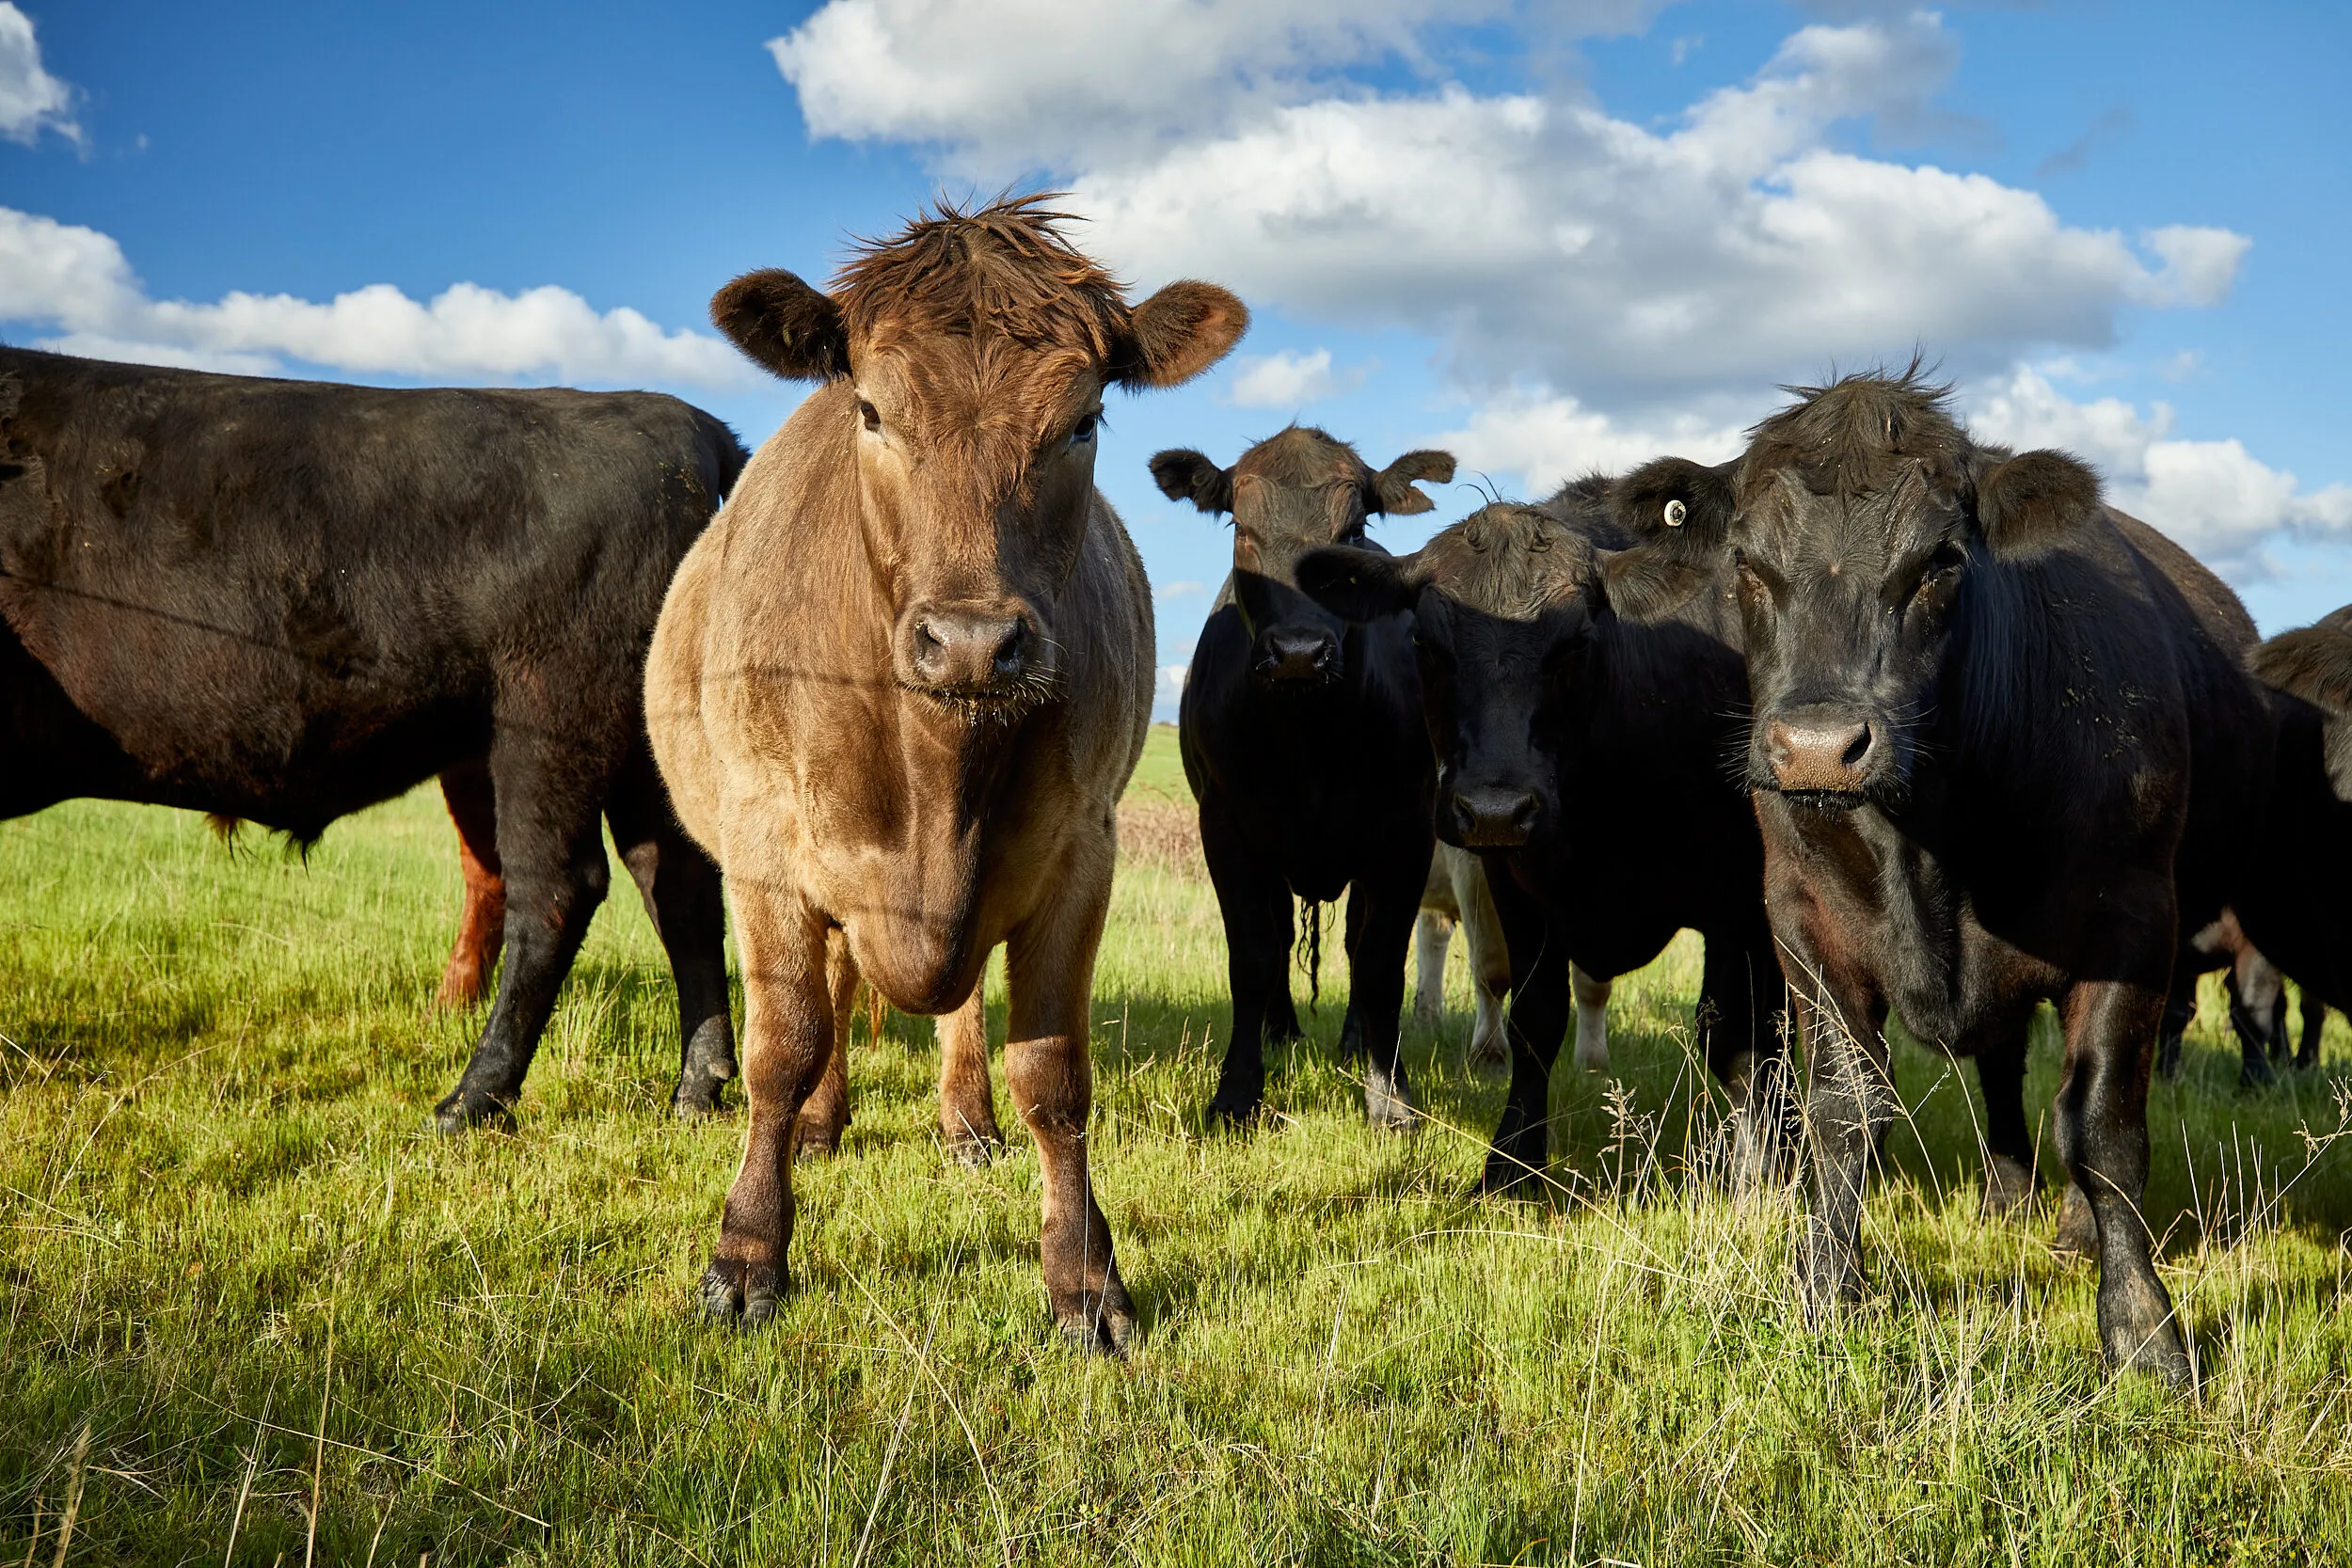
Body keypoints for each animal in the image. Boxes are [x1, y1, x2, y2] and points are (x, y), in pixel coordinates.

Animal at [0, 346, 745, 1132]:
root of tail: (679, 420)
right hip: (639, 749)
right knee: (677, 883)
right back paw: (698, 1088)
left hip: (550, 715)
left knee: (557, 888)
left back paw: (471, 1098)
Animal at [643, 197, 1247, 1352]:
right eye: (873, 411)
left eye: (1083, 420)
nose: (973, 642)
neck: (936, 771)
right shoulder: (764, 849)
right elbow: (783, 1046)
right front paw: (746, 1254)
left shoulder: (1079, 849)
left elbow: (1053, 1075)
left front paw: (1086, 1279)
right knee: (834, 995)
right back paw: (824, 1124)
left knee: (958, 1006)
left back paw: (965, 1122)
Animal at [1155, 427, 1453, 1130]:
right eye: (1242, 527)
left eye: (1352, 530)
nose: (1298, 652)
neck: (1309, 740)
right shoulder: (1226, 829)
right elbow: (1253, 956)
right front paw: (1237, 1092)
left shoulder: (1406, 833)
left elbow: (1379, 962)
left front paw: (1390, 1094)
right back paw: (1281, 1031)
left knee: (1352, 939)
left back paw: (1352, 1039)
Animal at [1416, 830, 1612, 1075]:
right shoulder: (1472, 867)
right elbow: (1492, 971)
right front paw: (1489, 1053)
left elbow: (1593, 985)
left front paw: (1593, 1063)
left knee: (1432, 932)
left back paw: (1427, 1017)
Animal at [1600, 369, 2274, 1385]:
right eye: (1747, 562)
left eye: (1941, 561)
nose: (1817, 745)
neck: (1926, 845)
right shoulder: (1798, 918)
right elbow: (1844, 1110)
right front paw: (1826, 1292)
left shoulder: (2131, 921)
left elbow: (2104, 1126)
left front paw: (2145, 1331)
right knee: (1999, 1065)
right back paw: (2006, 1195)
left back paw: (2070, 1227)